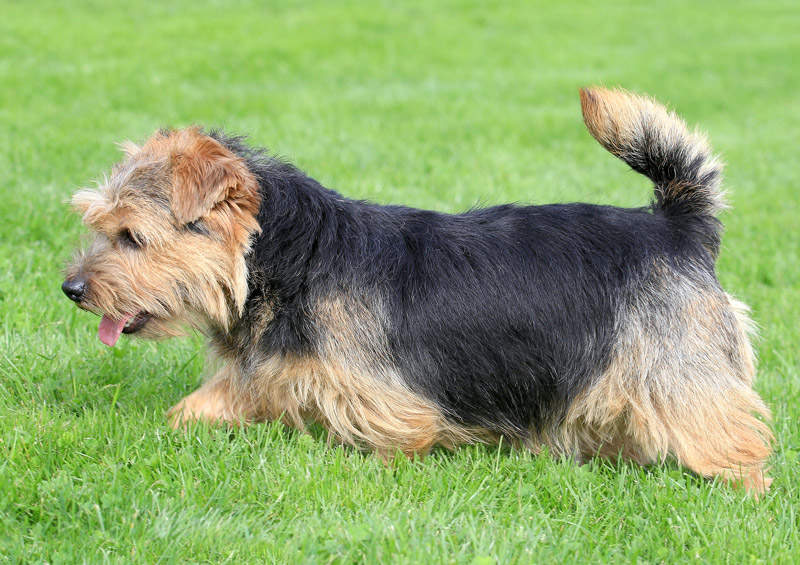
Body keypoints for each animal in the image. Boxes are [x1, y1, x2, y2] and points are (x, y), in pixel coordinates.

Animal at [62, 87, 776, 490]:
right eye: (98, 225)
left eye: (131, 236)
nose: (70, 287)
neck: (288, 260)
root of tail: (678, 226)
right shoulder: (260, 376)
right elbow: (193, 410)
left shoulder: (391, 406)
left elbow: (386, 447)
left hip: (677, 373)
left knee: (735, 439)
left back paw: (743, 497)